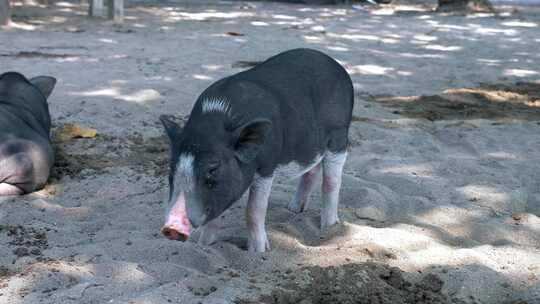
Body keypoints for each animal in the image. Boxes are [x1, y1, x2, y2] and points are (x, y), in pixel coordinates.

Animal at [159, 48, 354, 253]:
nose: (171, 228)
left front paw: (258, 251)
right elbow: (215, 217)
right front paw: (204, 246)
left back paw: (330, 227)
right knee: (311, 170)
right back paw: (293, 210)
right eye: (171, 169)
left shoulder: (267, 165)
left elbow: (253, 210)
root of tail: (335, 64)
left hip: (339, 134)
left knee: (332, 181)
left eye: (213, 168)